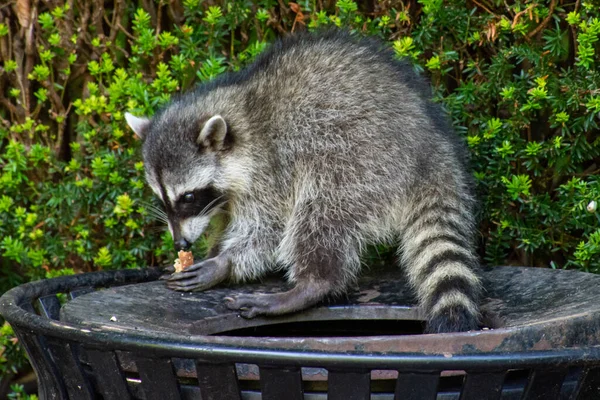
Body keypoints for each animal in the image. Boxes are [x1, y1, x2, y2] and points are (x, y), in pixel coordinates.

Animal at [126, 29, 482, 332]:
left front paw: (223, 263)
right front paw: (212, 251)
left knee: (320, 213)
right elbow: (226, 222)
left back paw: (312, 284)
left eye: (188, 197)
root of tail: (431, 149)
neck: (241, 114)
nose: (180, 244)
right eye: (162, 199)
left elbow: (267, 230)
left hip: (361, 160)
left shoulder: (270, 170)